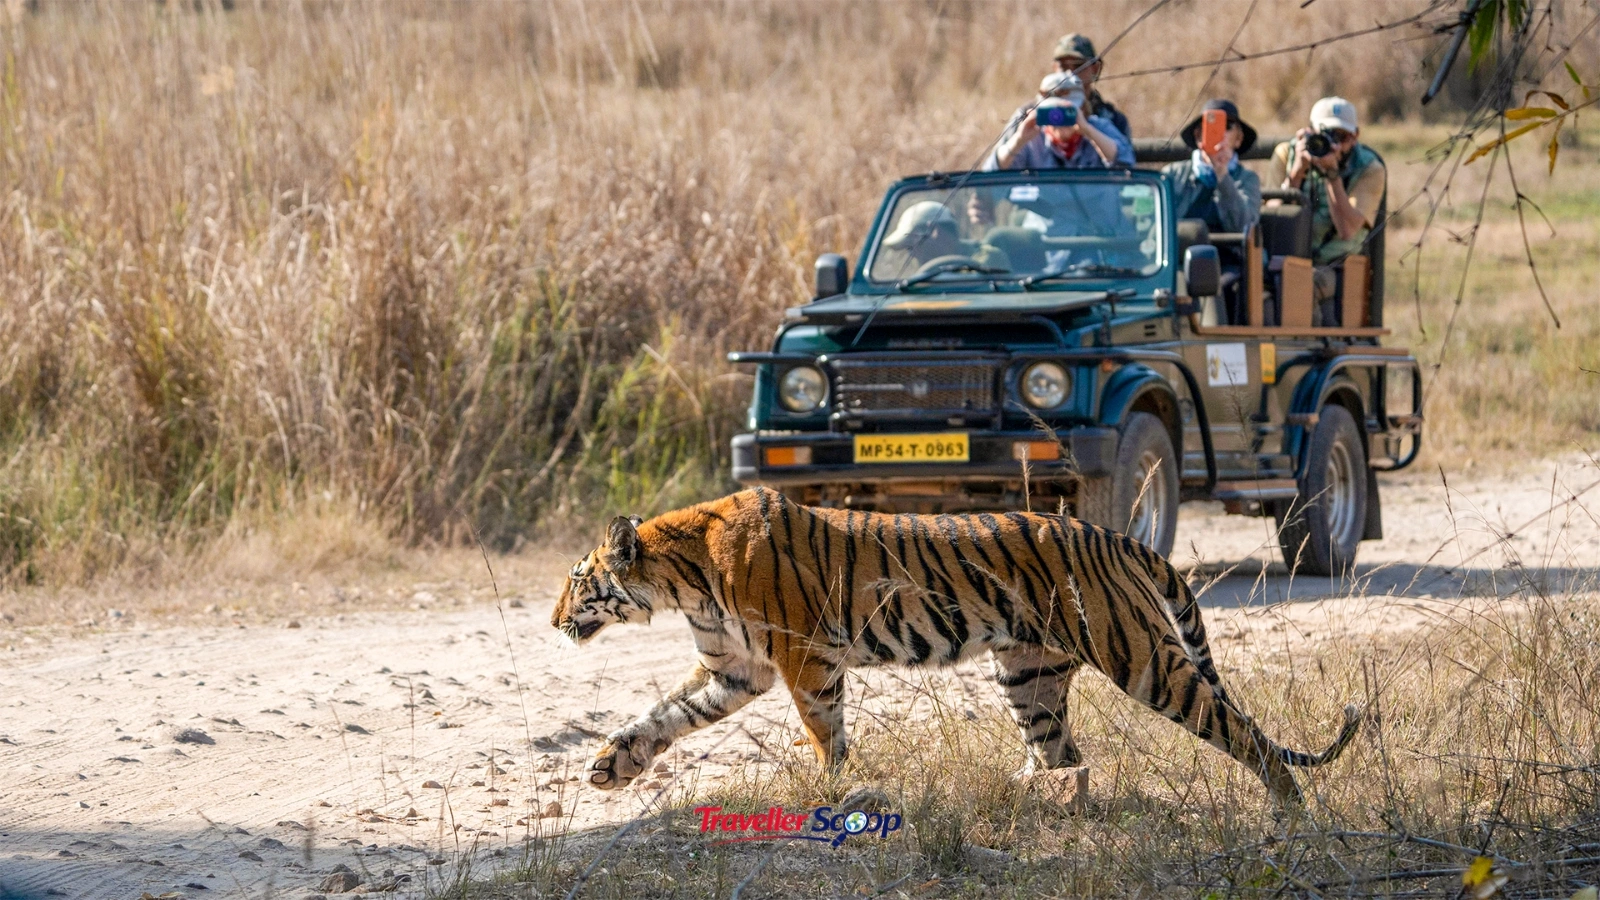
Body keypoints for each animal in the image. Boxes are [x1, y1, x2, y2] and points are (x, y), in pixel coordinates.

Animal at [551, 487, 1361, 804]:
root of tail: (1117, 537)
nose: (554, 621)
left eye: (577, 579)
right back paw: (1033, 800)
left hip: (1144, 659)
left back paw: (1289, 811)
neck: (680, 580)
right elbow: (664, 715)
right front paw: (610, 765)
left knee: (1238, 727)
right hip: (1029, 675)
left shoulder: (804, 659)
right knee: (1062, 755)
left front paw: (833, 792)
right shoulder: (737, 669)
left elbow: (824, 731)